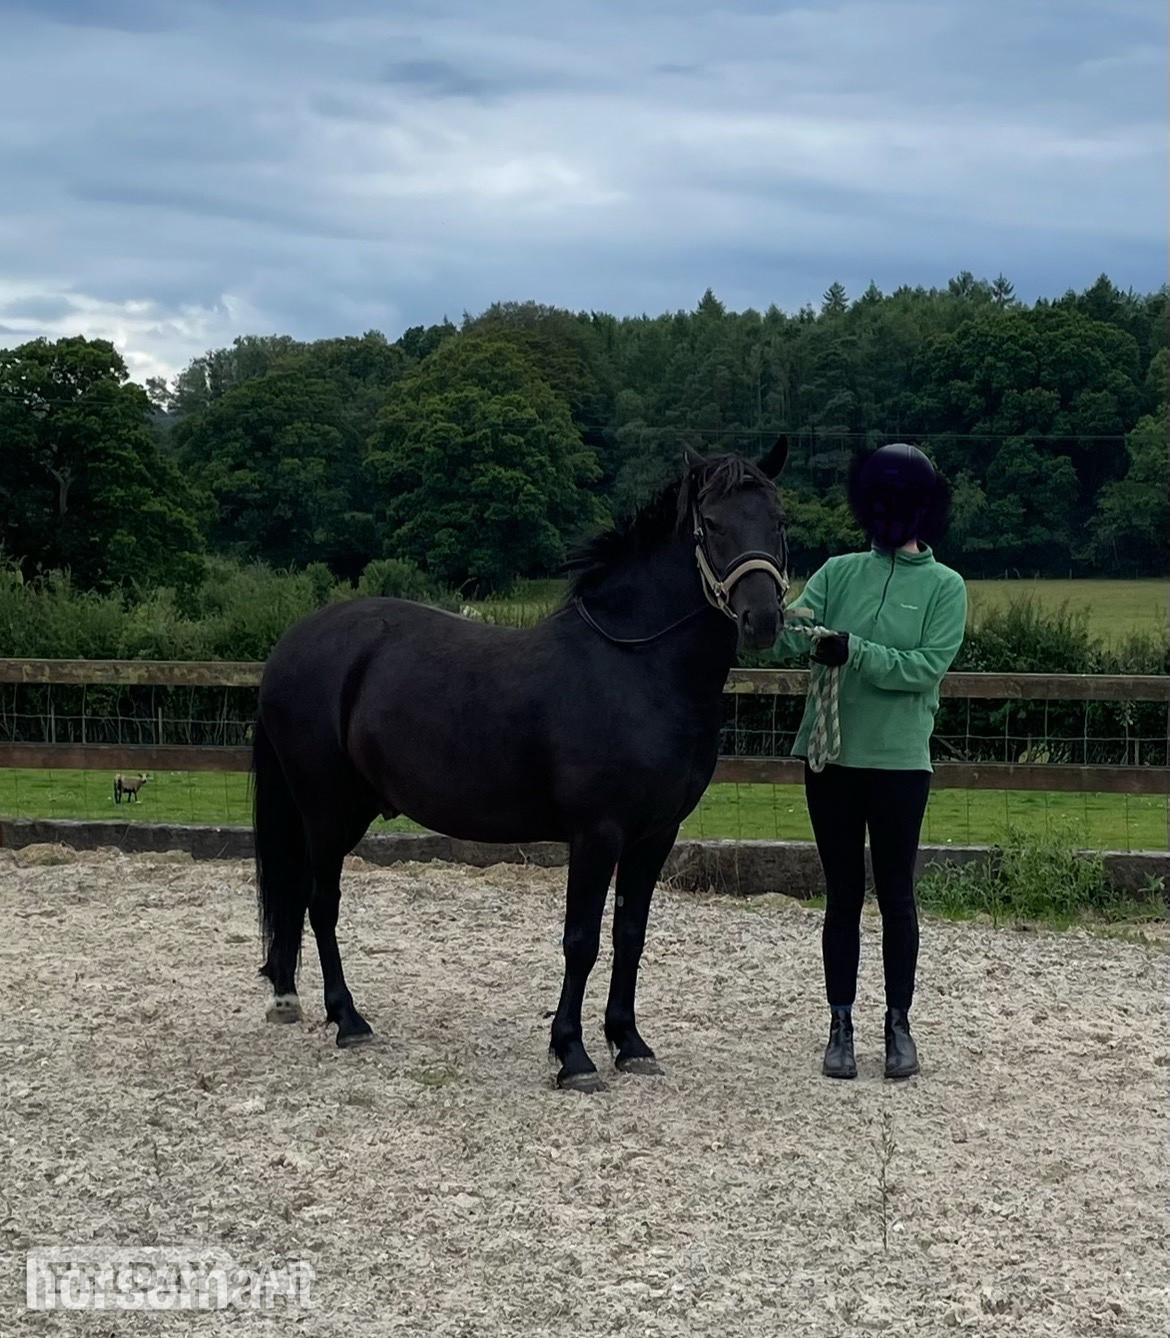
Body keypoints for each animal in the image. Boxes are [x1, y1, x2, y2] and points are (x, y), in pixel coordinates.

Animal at [252, 437, 791, 1091]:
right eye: (710, 524)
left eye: (779, 520)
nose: (761, 619)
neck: (635, 669)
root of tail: (291, 644)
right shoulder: (597, 834)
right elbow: (582, 940)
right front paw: (573, 1055)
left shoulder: (654, 836)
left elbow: (630, 936)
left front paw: (630, 1043)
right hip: (329, 813)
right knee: (320, 903)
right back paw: (348, 1020)